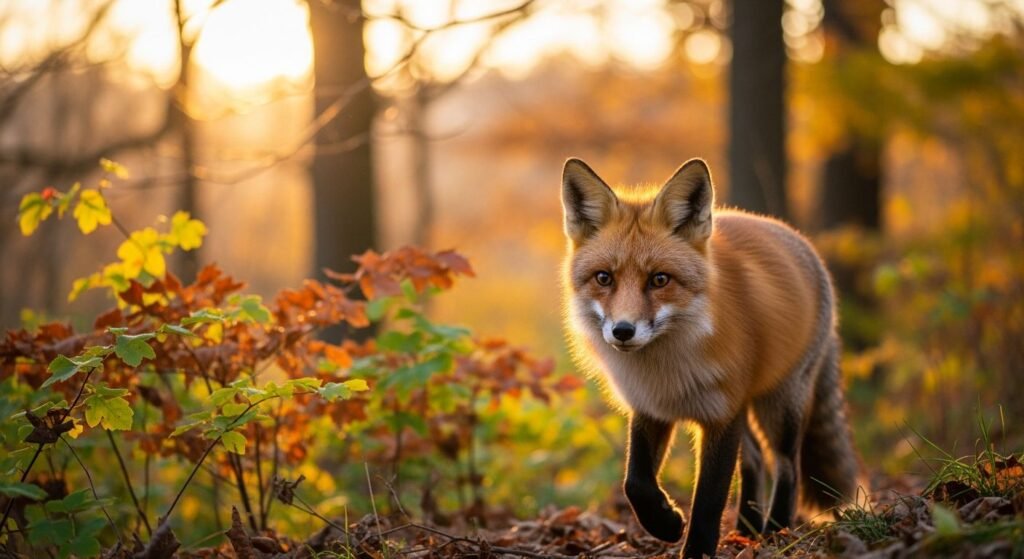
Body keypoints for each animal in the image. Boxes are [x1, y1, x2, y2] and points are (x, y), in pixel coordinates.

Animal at [560, 157, 861, 558]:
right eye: (604, 278)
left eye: (659, 280)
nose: (623, 331)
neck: (668, 367)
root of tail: (797, 238)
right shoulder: (651, 406)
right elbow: (635, 482)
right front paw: (665, 521)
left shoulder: (721, 414)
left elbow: (708, 500)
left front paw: (694, 547)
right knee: (755, 461)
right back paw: (748, 529)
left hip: (779, 403)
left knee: (786, 466)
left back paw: (776, 533)